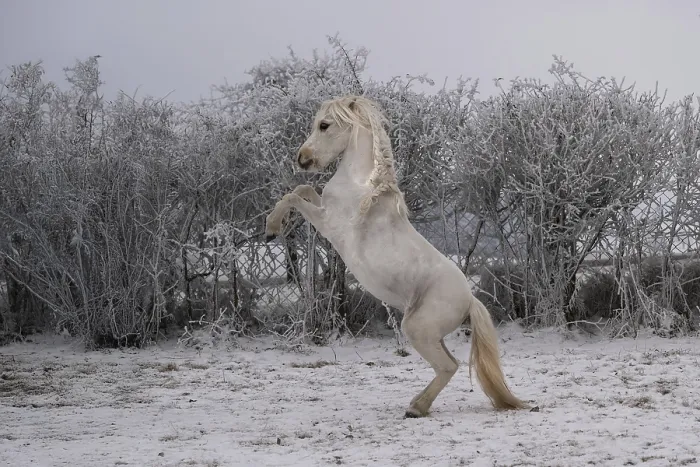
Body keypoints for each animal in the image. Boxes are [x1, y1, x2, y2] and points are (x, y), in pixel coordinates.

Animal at [264, 95, 527, 417]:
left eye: (324, 125)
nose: (302, 159)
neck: (361, 188)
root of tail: (470, 300)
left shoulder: (328, 224)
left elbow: (293, 196)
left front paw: (271, 229)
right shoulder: (322, 207)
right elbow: (303, 189)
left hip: (417, 330)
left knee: (448, 366)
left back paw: (416, 409)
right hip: (432, 335)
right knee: (449, 364)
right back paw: (416, 403)